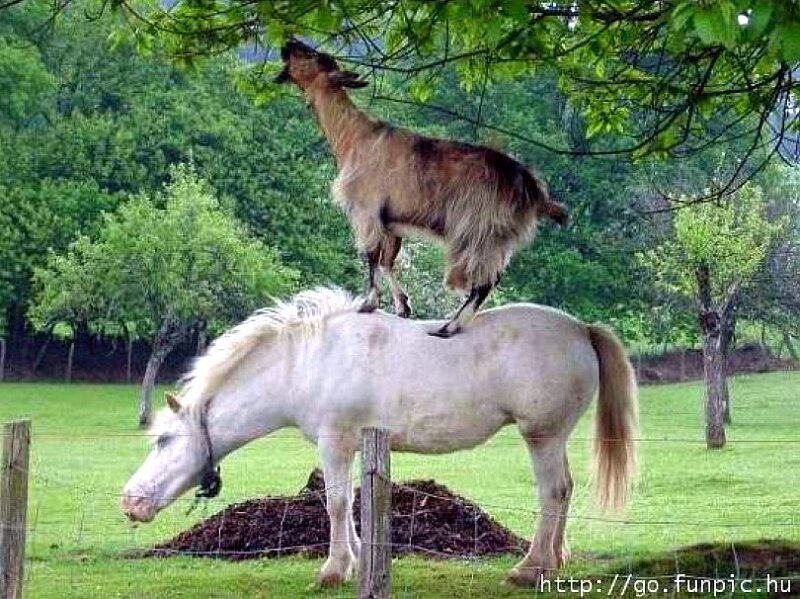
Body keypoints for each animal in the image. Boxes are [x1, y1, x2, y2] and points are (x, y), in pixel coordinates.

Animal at [275, 38, 568, 337]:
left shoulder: (367, 211)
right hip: (498, 240)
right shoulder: (391, 222)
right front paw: (403, 306)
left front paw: (369, 303)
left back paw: (448, 327)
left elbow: (371, 256)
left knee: (484, 282)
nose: (287, 43)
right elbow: (387, 261)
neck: (355, 136)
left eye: (312, 54)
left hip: (479, 233)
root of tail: (535, 193)